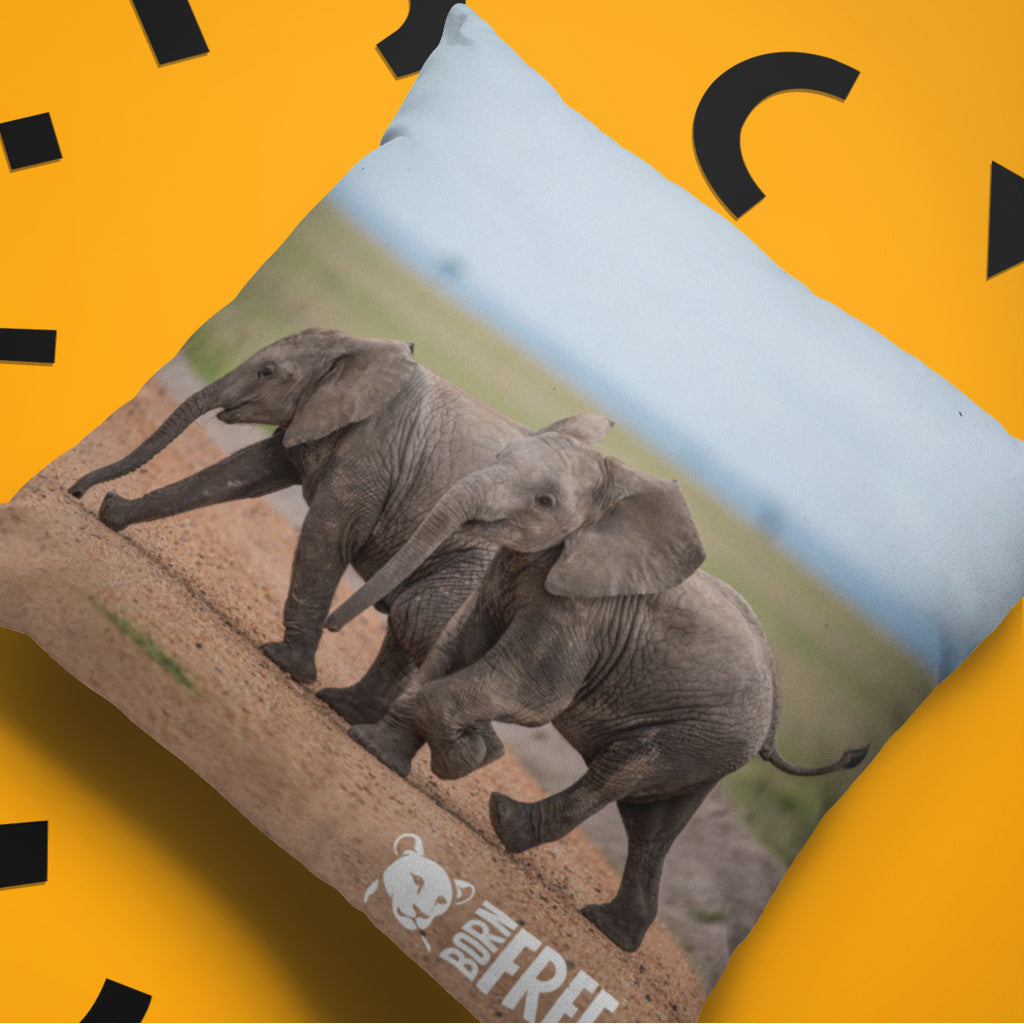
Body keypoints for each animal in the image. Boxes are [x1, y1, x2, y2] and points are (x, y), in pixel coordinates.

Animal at [68, 327, 527, 720]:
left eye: (267, 372)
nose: (76, 490)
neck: (354, 348)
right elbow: (242, 471)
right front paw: (112, 514)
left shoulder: (369, 451)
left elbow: (327, 535)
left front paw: (285, 663)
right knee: (411, 620)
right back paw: (346, 711)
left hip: (476, 560)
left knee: (421, 619)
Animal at [321, 415, 868, 952]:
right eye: (499, 458)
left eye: (544, 501)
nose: (330, 626)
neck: (607, 496)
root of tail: (775, 703)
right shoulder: (510, 570)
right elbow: (455, 646)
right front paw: (376, 749)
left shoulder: (582, 613)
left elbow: (530, 693)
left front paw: (469, 758)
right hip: (711, 747)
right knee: (650, 827)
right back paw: (610, 929)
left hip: (701, 734)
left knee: (620, 772)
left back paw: (506, 821)